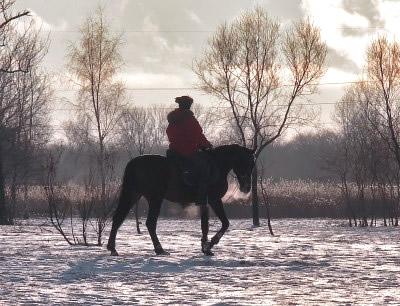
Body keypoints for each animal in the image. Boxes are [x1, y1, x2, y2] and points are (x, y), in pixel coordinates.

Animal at [106, 143, 255, 256]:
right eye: (247, 162)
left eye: (252, 164)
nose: (247, 187)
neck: (217, 165)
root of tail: (134, 162)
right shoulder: (214, 200)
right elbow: (224, 223)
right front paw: (210, 244)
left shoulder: (206, 202)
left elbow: (206, 224)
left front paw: (205, 246)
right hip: (155, 198)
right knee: (150, 223)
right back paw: (159, 249)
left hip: (133, 195)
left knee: (119, 218)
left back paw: (112, 248)